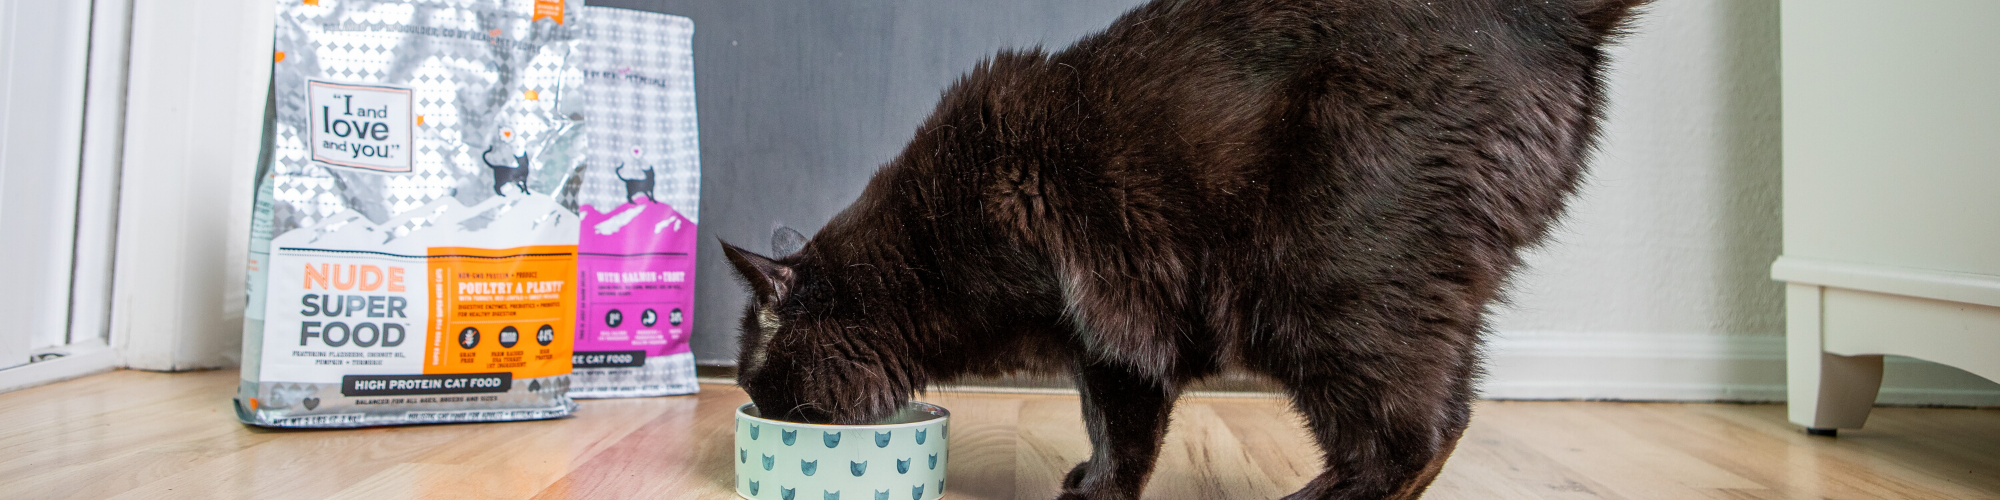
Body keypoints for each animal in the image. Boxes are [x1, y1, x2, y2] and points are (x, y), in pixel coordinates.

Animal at [728, 1, 1648, 498]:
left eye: (760, 376)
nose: (760, 407)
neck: (928, 244)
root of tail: (1544, 19)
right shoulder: (1099, 337)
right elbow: (1109, 423)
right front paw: (1092, 477)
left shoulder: (1112, 318)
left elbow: (1125, 425)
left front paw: (1098, 494)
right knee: (1451, 412)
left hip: (1323, 282)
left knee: (1415, 433)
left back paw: (1315, 498)